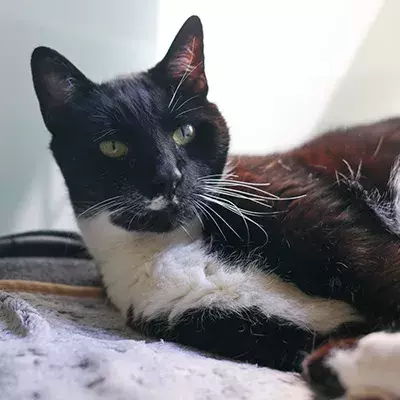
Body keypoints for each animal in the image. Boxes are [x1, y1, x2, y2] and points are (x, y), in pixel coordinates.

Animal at [29, 14, 400, 396]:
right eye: (113, 147)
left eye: (185, 132)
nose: (169, 177)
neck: (171, 244)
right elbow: (319, 356)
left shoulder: (331, 226)